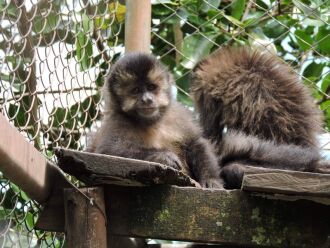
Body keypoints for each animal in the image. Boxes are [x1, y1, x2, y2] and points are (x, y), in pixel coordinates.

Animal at [87, 51, 222, 188]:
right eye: (136, 90)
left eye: (151, 87)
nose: (147, 99)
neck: (152, 122)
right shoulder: (116, 119)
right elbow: (107, 151)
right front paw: (162, 156)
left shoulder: (178, 114)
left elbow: (196, 142)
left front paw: (211, 179)